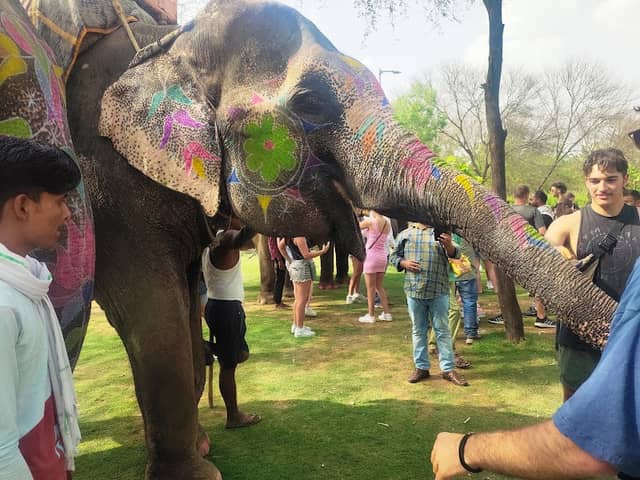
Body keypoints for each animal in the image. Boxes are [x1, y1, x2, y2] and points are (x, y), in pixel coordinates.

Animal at [15, 0, 619, 478]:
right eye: (310, 103)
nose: (593, 256)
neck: (170, 43)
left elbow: (186, 305)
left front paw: (202, 447)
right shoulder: (104, 175)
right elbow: (151, 308)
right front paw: (194, 473)